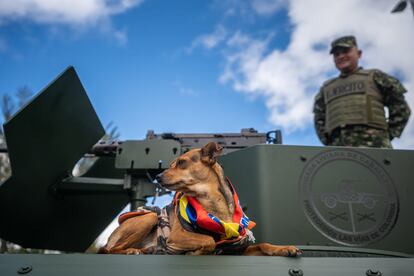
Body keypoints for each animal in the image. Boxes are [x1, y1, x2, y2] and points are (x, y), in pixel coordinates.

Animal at [100, 142, 300, 256]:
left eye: (181, 162)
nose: (157, 176)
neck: (212, 204)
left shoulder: (237, 250)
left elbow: (263, 244)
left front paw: (284, 248)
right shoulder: (177, 236)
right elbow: (208, 240)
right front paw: (195, 252)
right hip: (148, 218)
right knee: (110, 250)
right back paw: (132, 250)